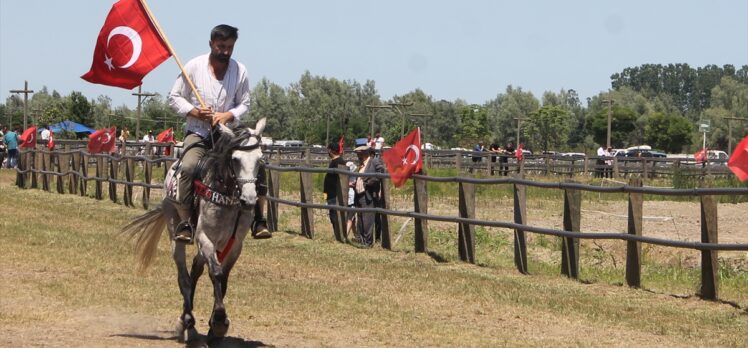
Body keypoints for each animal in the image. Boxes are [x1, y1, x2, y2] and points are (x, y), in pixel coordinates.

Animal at [120, 118, 266, 342]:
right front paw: (219, 322)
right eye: (235, 159)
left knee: (195, 270)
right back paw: (186, 321)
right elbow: (216, 274)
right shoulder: (205, 237)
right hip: (175, 229)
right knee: (184, 276)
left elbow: (223, 278)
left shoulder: (235, 245)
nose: (249, 200)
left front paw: (215, 326)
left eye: (259, 160)